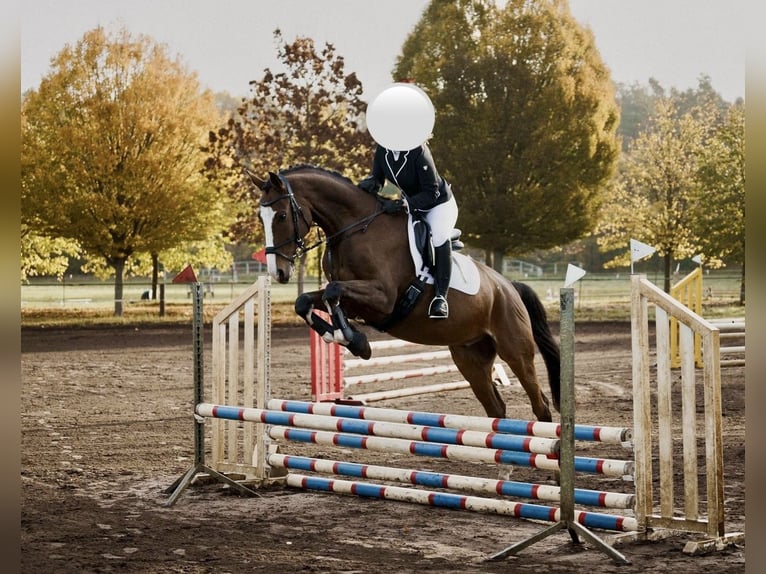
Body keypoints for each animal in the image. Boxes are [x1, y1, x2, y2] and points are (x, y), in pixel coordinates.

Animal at [255, 166, 560, 424]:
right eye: (261, 217)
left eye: (281, 216)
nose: (278, 271)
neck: (356, 229)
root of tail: (508, 286)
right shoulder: (355, 301)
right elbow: (306, 301)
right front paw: (351, 339)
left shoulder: (382, 298)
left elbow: (332, 292)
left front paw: (356, 342)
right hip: (470, 356)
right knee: (496, 408)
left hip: (515, 351)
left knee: (541, 405)